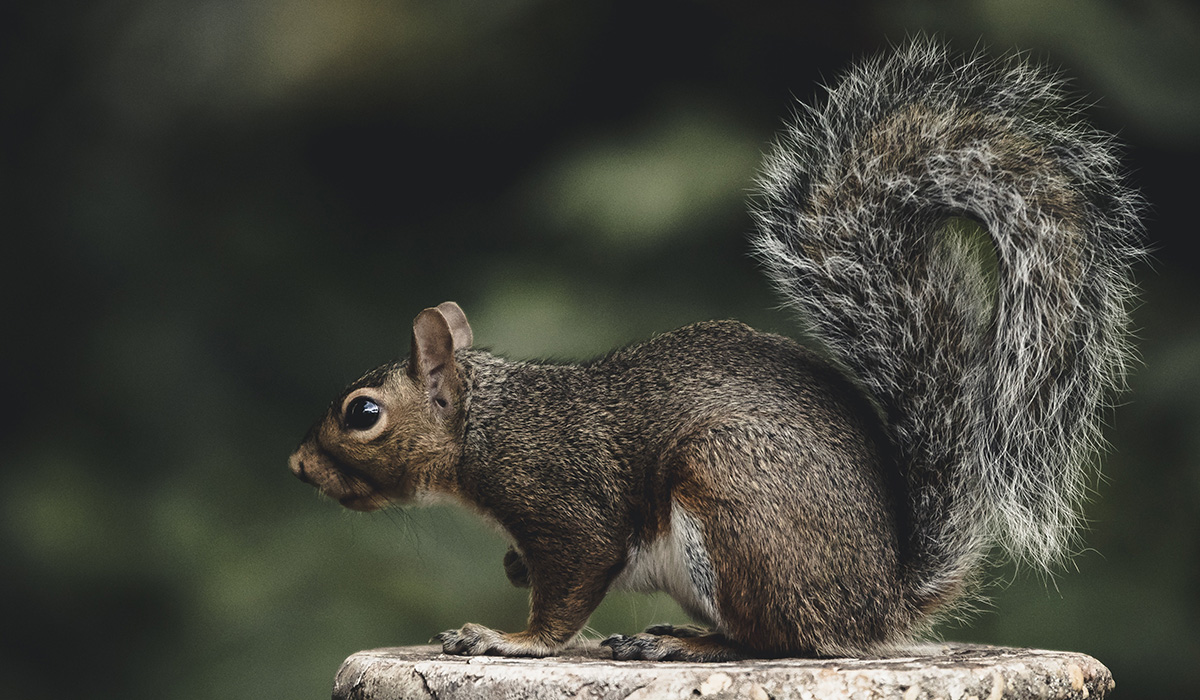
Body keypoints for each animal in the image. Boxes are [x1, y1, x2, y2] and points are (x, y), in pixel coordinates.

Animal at [288, 39, 1143, 661]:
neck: (487, 424)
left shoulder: (566, 501)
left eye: (362, 414)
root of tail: (877, 606)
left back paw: (686, 645)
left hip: (735, 501)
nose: (297, 466)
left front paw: (509, 639)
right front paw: (509, 579)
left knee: (777, 642)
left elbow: (569, 588)